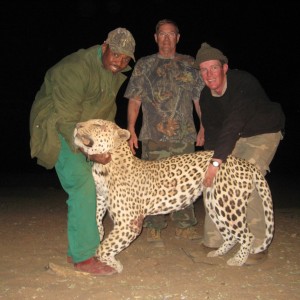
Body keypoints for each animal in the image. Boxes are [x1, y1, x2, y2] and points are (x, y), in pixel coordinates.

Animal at [73, 118, 274, 274]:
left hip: (229, 204)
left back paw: (238, 260)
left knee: (247, 235)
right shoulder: (101, 201)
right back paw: (217, 254)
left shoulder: (129, 221)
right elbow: (97, 225)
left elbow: (104, 248)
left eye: (97, 125)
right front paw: (99, 239)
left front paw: (115, 264)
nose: (76, 125)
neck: (102, 167)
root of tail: (245, 162)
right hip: (214, 203)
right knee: (231, 235)